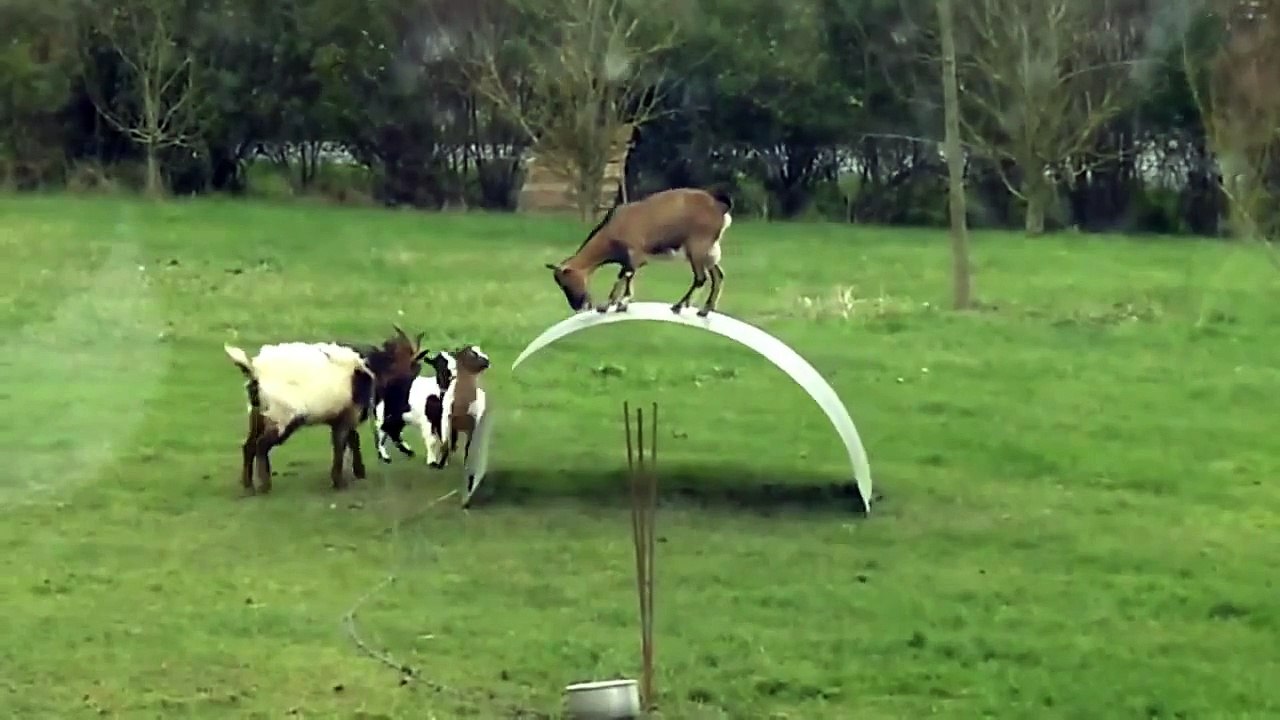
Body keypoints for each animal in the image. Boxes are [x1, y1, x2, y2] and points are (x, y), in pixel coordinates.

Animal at [224, 325, 428, 494]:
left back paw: (248, 485)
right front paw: (339, 482)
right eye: (414, 367)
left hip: (257, 414)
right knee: (261, 445)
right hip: (282, 416)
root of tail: (255, 370)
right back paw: (264, 486)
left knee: (249, 445)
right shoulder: (348, 415)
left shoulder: (344, 414)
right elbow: (341, 443)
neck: (374, 369)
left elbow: (352, 439)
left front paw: (359, 472)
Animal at [544, 187, 734, 317]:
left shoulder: (636, 254)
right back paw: (705, 310)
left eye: (566, 283)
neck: (611, 230)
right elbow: (624, 276)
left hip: (697, 247)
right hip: (709, 252)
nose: (578, 306)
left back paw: (679, 306)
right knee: (718, 276)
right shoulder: (628, 259)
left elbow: (626, 275)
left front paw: (619, 302)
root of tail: (720, 207)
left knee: (701, 278)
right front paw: (611, 304)